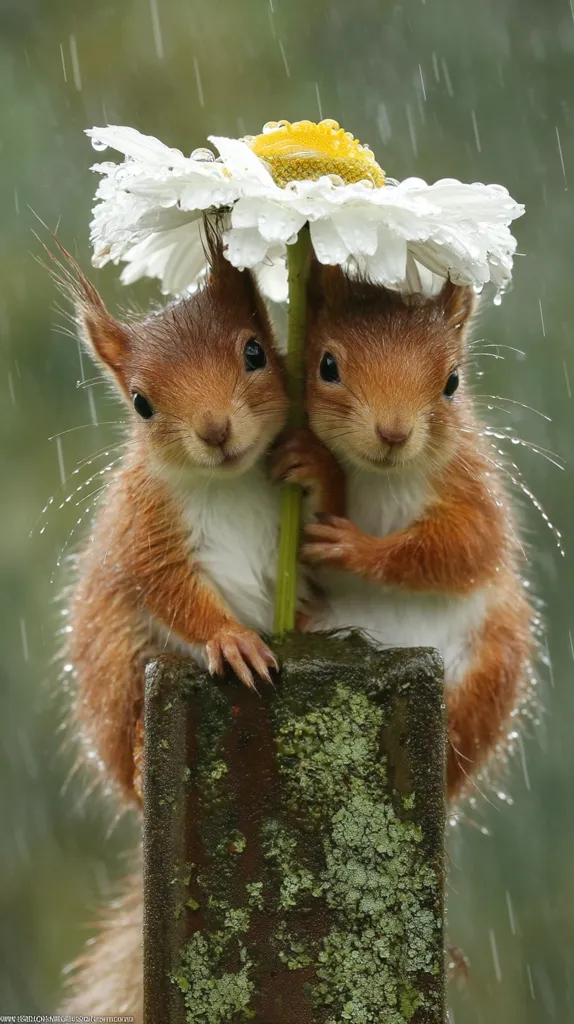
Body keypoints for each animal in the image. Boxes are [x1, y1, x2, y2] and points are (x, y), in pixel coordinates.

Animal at [273, 262, 535, 804]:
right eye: (327, 366)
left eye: (453, 382)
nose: (393, 434)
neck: (382, 475)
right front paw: (318, 469)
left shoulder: (471, 488)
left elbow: (466, 547)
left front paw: (356, 549)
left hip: (492, 665)